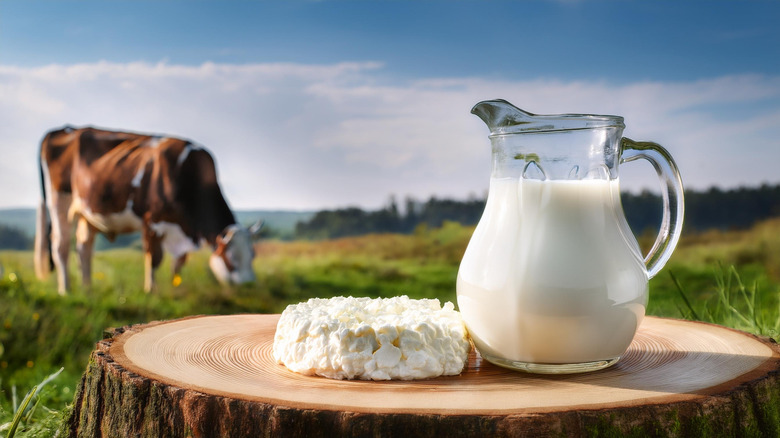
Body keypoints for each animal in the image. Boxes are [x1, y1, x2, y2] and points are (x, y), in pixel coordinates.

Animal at [34, 126, 262, 294]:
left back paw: (87, 288)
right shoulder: (152, 220)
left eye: (253, 255)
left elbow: (178, 262)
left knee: (84, 248)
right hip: (59, 200)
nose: (250, 286)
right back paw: (66, 290)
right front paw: (151, 291)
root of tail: (64, 129)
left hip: (88, 211)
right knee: (61, 245)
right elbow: (154, 258)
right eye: (231, 260)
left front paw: (175, 287)